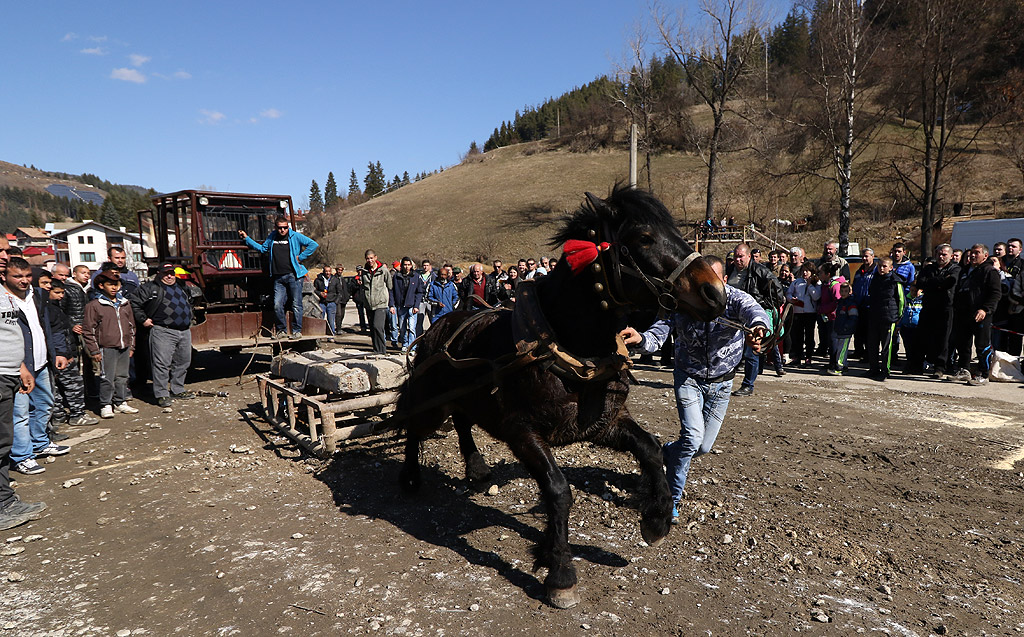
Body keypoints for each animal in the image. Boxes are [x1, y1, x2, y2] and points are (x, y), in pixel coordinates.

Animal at [393, 184, 729, 610]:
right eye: (644, 238)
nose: (715, 292)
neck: (564, 346)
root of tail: (439, 326)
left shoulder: (602, 423)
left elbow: (651, 449)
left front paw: (656, 519)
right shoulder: (522, 432)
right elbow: (557, 489)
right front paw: (561, 573)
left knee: (463, 420)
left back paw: (477, 469)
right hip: (432, 403)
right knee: (414, 426)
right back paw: (410, 476)